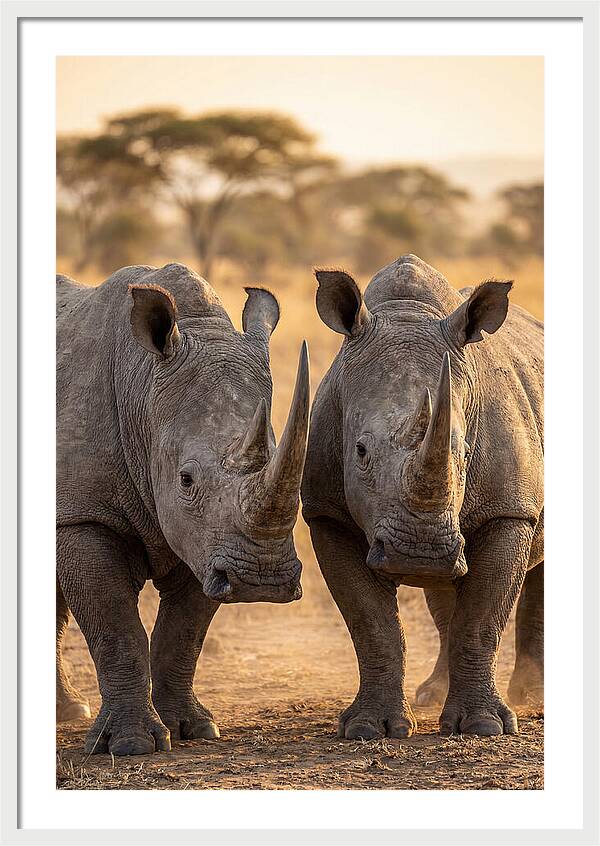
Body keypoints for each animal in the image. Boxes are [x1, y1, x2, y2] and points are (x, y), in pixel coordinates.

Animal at [56, 262, 309, 755]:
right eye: (186, 480)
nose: (262, 580)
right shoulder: (82, 513)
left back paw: (68, 711)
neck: (142, 387)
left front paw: (192, 729)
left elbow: (183, 633)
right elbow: (115, 626)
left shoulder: (209, 541)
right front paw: (130, 745)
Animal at [302, 255, 543, 738]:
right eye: (360, 451)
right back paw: (432, 694)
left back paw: (532, 696)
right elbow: (372, 625)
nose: (420, 553)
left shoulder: (510, 511)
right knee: (445, 593)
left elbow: (482, 619)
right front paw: (369, 728)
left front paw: (485, 727)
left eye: (464, 451)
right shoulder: (326, 513)